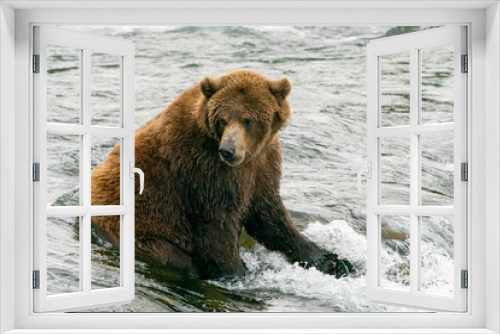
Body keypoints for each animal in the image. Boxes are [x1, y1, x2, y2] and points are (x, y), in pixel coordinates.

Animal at [92, 70, 354, 280]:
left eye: (248, 120)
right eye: (223, 119)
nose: (228, 150)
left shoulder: (262, 164)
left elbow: (269, 215)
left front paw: (333, 261)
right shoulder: (205, 169)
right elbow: (217, 226)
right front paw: (239, 273)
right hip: (145, 233)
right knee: (176, 257)